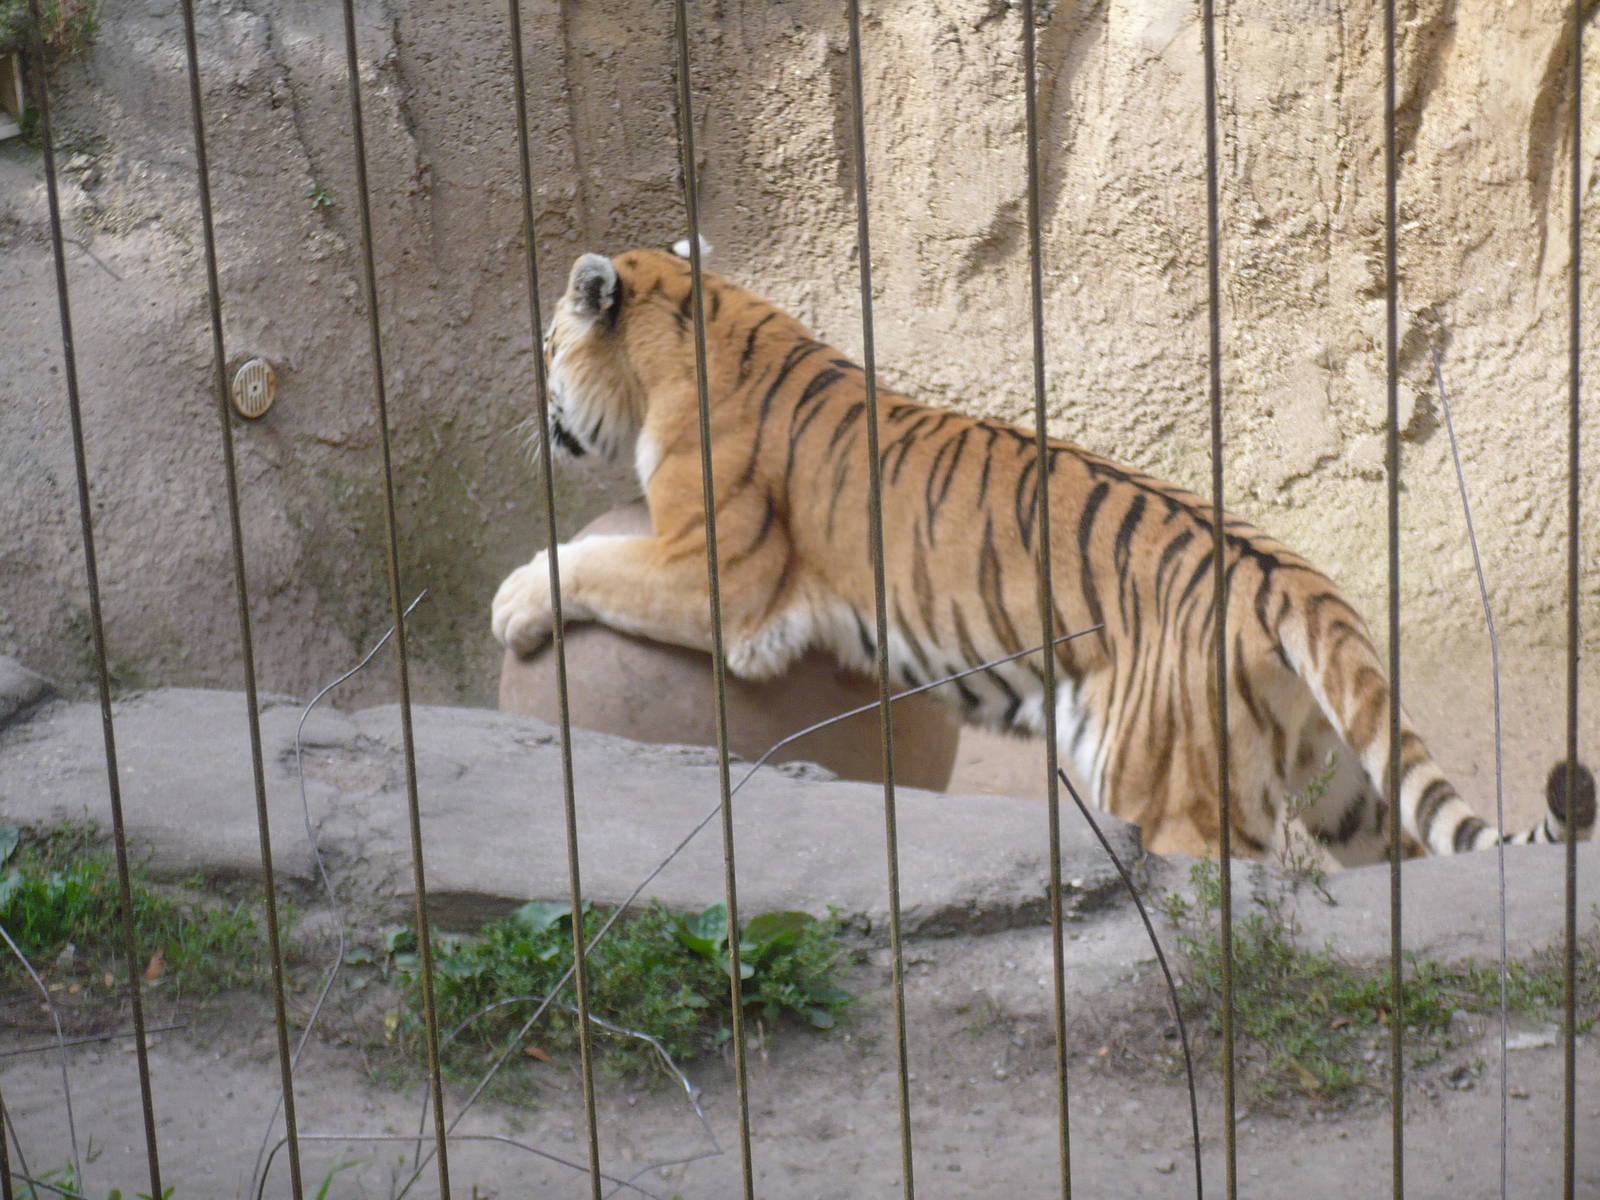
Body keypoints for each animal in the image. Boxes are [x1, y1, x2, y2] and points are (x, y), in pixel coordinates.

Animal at [490, 244, 1595, 863]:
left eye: (546, 346)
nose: (535, 402)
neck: (698, 321)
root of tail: (1294, 578)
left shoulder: (719, 578)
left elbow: (588, 565)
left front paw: (513, 604)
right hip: (1343, 792)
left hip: (1167, 793)